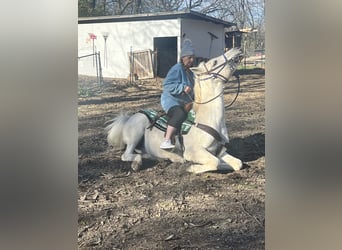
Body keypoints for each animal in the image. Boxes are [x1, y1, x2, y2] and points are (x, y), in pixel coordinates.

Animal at [106, 48, 243, 174]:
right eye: (214, 62)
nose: (236, 49)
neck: (208, 120)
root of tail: (129, 118)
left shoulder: (220, 151)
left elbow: (237, 163)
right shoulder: (193, 151)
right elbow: (215, 162)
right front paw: (191, 167)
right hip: (135, 134)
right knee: (126, 155)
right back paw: (138, 163)